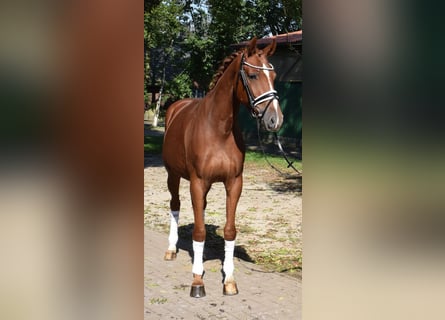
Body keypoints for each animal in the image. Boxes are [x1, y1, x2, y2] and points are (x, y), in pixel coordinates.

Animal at [161, 37, 282, 298]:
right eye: (252, 75)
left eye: (274, 75)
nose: (275, 119)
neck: (219, 129)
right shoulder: (197, 182)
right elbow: (198, 232)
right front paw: (197, 281)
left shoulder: (234, 182)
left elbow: (229, 230)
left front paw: (229, 281)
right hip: (173, 176)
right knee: (175, 205)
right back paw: (171, 249)